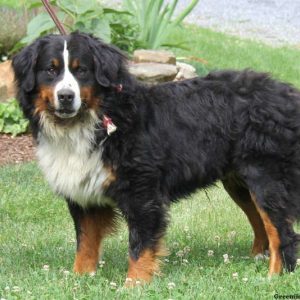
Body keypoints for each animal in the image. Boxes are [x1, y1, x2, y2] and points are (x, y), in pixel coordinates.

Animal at [12, 31, 300, 284]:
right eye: (50, 70)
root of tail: (287, 94)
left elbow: (140, 245)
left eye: (81, 70)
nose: (66, 96)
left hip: (266, 179)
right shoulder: (84, 196)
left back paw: (272, 277)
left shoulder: (142, 194)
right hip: (240, 184)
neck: (96, 121)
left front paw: (135, 284)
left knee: (282, 232)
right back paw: (256, 260)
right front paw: (79, 279)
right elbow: (86, 243)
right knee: (261, 222)